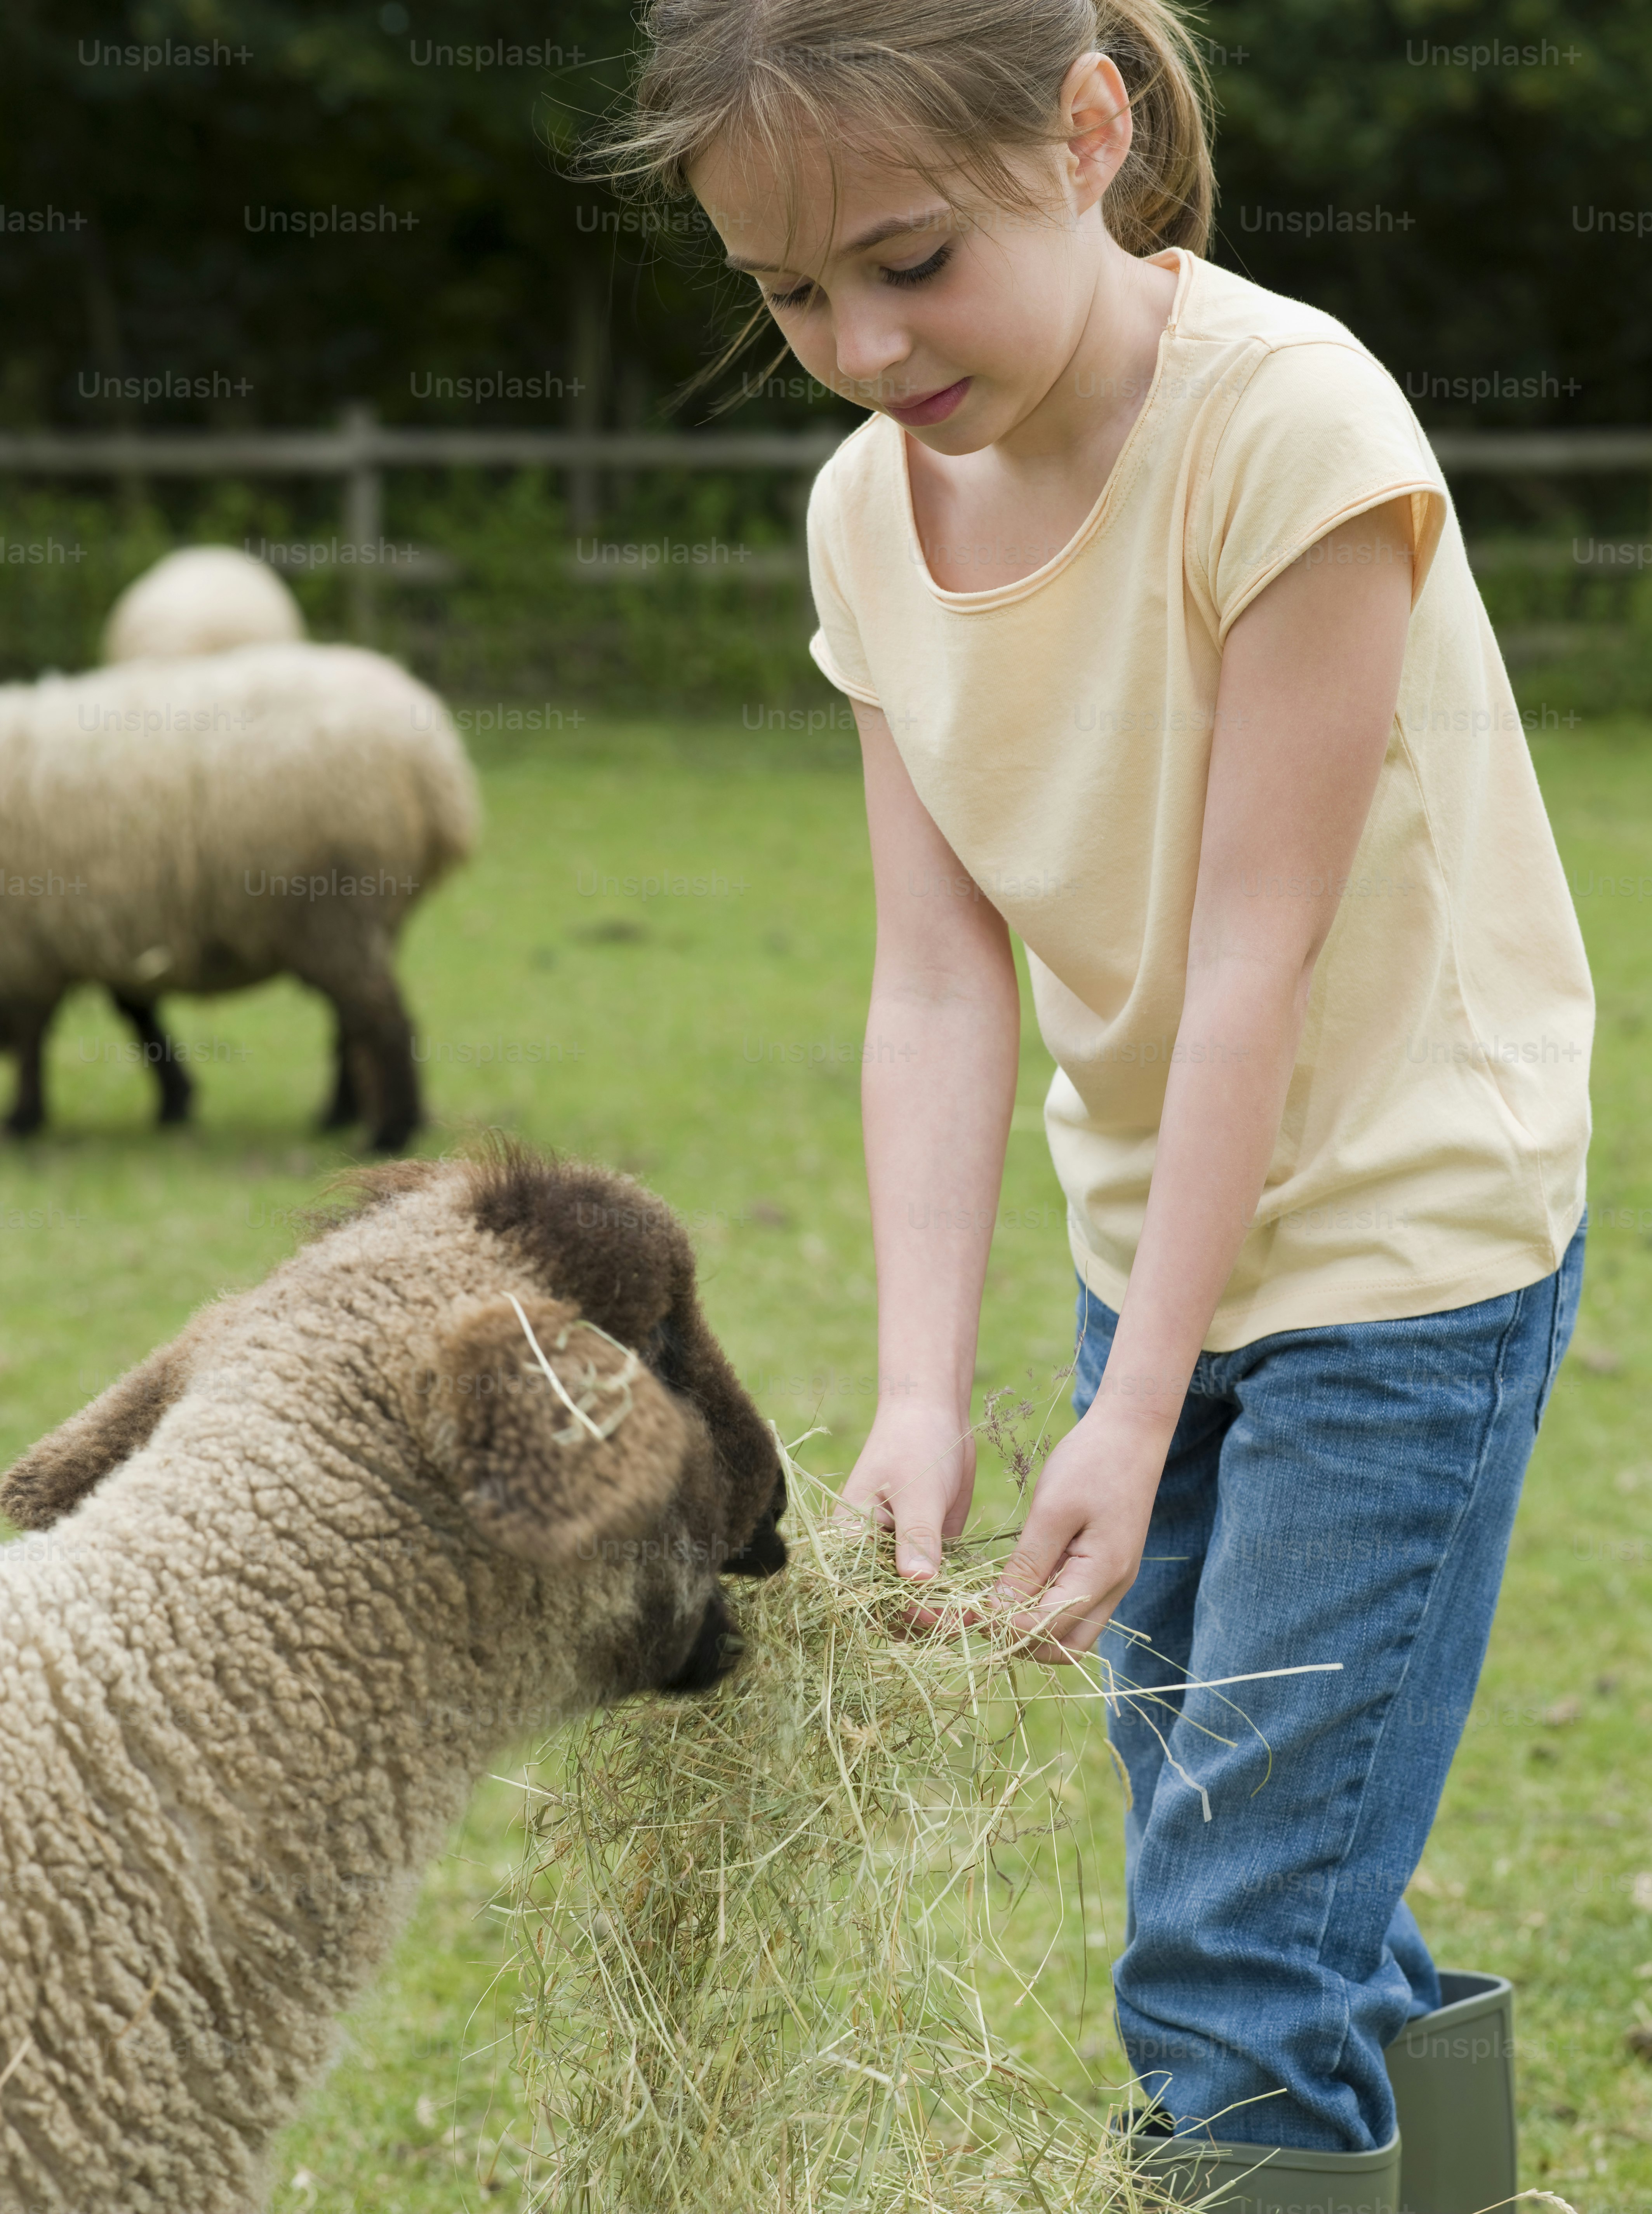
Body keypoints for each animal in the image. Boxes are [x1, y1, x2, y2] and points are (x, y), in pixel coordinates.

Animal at [0, 638, 481, 1150]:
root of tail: (435, 766)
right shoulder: (98, 936)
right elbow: (134, 1012)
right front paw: (175, 1101)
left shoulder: (32, 946)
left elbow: (35, 1035)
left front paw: (22, 1119)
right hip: (367, 916)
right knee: (351, 1018)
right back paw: (341, 1115)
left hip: (336, 904)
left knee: (381, 1016)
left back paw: (389, 1133)